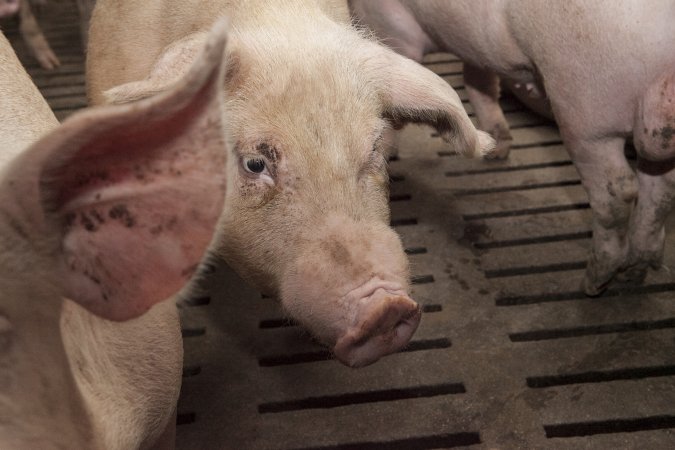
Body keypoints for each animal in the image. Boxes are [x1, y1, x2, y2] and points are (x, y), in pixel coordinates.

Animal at [352, 0, 675, 298]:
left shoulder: (388, 24)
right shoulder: (475, 45)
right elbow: (477, 80)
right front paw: (496, 148)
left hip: (585, 109)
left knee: (618, 191)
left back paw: (593, 283)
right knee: (660, 186)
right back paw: (635, 273)